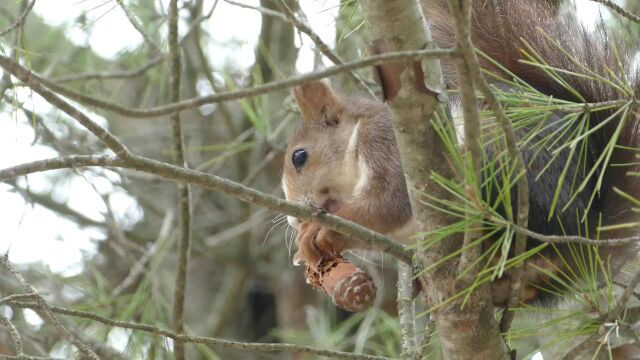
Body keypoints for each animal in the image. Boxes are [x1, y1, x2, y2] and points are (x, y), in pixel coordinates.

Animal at [282, 0, 640, 306]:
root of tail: (585, 232)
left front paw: (321, 231)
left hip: (505, 171)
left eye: (300, 157)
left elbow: (388, 205)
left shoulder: (385, 143)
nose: (292, 218)